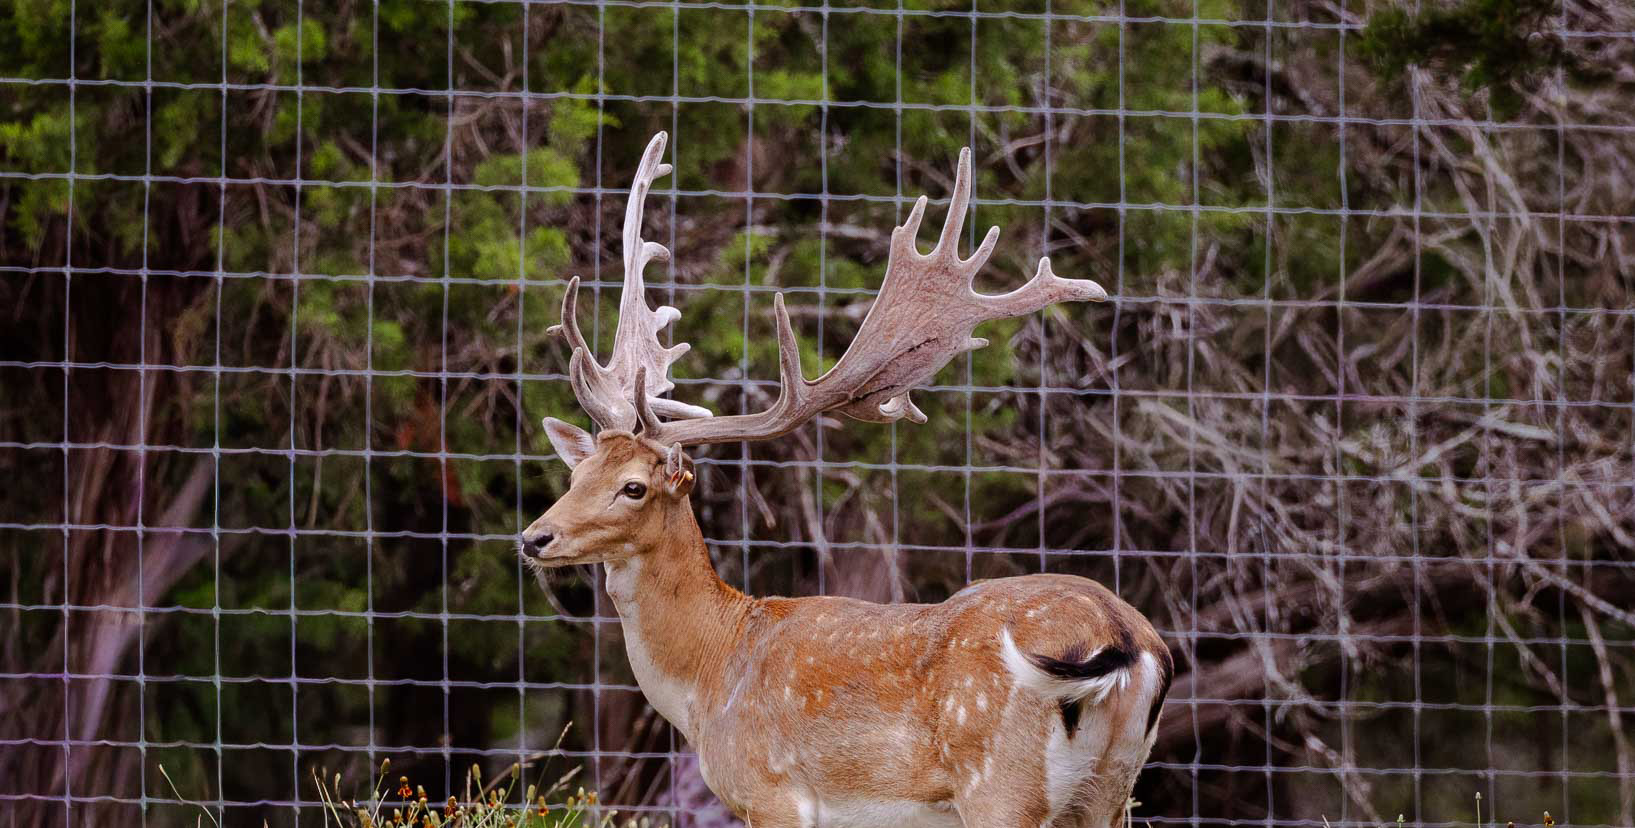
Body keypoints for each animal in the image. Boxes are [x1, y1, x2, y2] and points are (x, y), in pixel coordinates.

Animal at [522, 132, 1173, 828]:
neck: (711, 674)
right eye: (577, 472)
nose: (535, 538)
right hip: (1109, 789)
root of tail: (1125, 639)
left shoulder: (774, 793)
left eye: (634, 487)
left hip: (1000, 783)